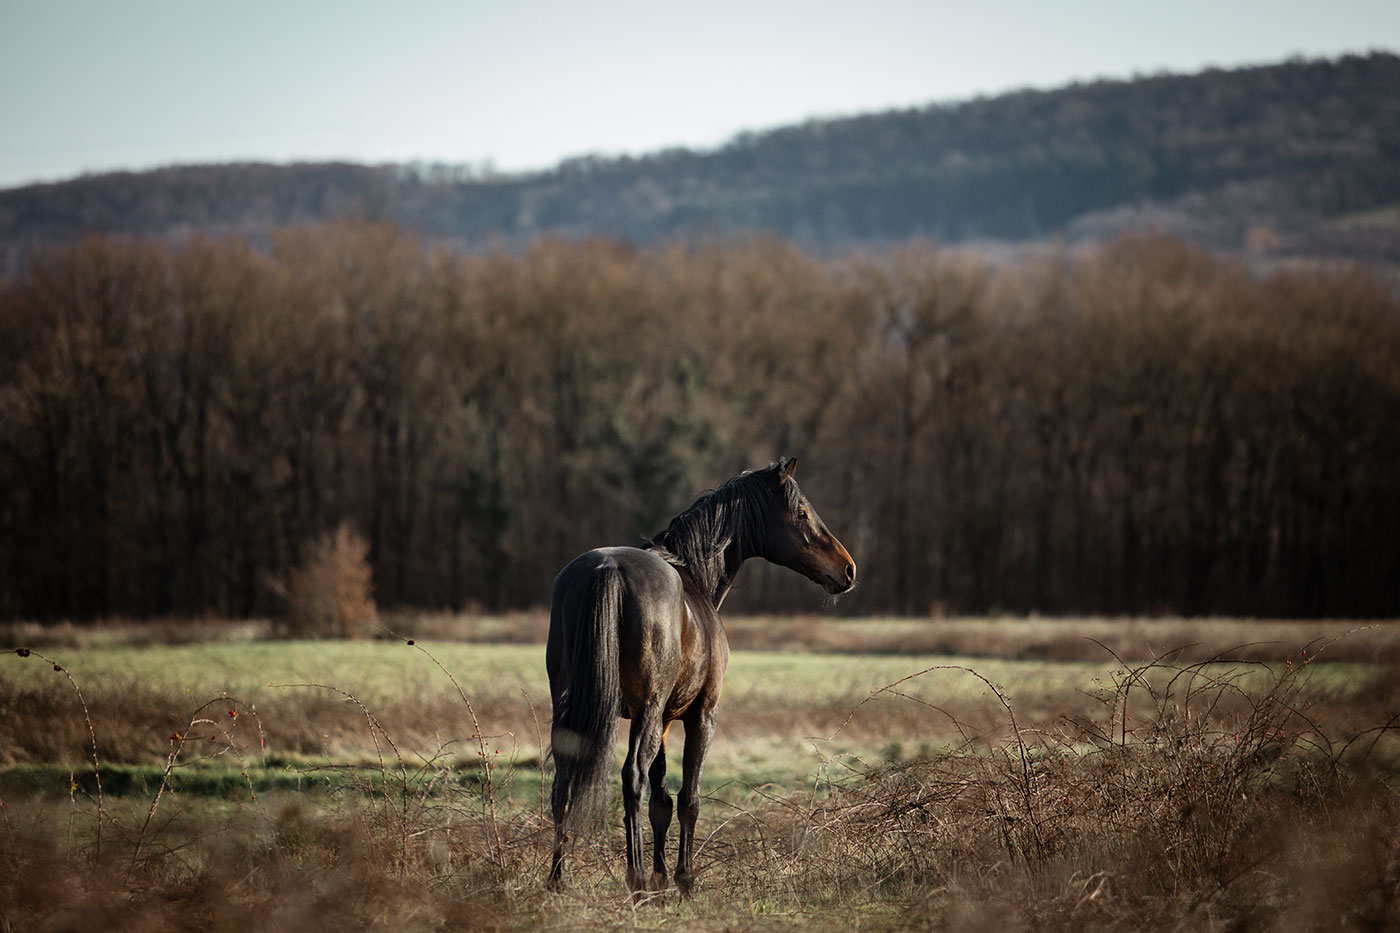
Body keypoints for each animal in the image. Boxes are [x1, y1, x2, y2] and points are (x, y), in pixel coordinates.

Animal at [543, 456, 851, 896]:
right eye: (802, 513)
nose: (847, 569)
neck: (693, 577)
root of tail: (608, 567)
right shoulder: (701, 715)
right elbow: (689, 798)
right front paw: (683, 880)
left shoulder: (665, 721)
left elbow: (661, 801)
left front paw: (661, 882)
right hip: (646, 712)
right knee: (631, 777)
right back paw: (635, 879)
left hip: (571, 708)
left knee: (563, 785)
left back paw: (558, 879)